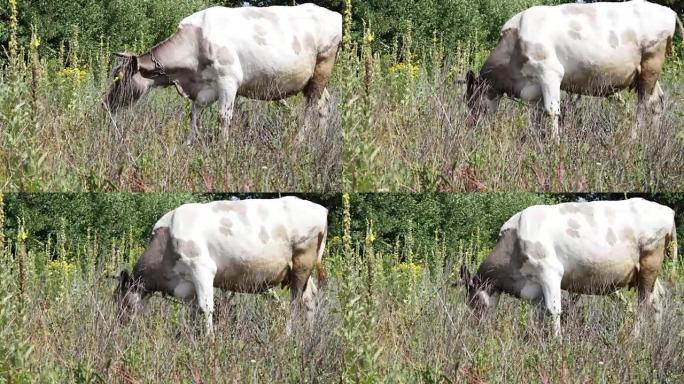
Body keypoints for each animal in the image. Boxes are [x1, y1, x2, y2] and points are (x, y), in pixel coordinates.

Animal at [102, 4, 342, 146]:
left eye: (118, 77)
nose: (104, 102)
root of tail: (333, 14)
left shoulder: (229, 81)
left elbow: (224, 117)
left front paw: (223, 148)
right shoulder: (206, 87)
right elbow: (195, 114)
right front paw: (188, 144)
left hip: (323, 66)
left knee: (311, 107)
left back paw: (298, 141)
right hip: (312, 79)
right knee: (324, 106)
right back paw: (320, 142)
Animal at [115, 196, 328, 338]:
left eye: (122, 302)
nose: (119, 326)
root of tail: (320, 209)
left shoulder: (202, 269)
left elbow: (207, 307)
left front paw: (209, 339)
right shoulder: (188, 285)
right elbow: (192, 312)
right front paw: (190, 336)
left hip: (302, 262)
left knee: (295, 302)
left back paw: (288, 335)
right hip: (300, 269)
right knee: (310, 298)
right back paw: (309, 335)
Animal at [460, 200, 680, 338]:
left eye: (474, 301)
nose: (474, 328)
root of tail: (667, 211)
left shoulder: (550, 272)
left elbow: (554, 310)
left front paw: (556, 341)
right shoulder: (535, 287)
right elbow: (540, 314)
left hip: (650, 262)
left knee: (644, 303)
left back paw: (635, 336)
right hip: (646, 271)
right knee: (657, 299)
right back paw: (656, 334)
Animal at [464, 0, 684, 142]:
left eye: (471, 102)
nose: (471, 127)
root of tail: (668, 11)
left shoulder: (550, 72)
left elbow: (552, 111)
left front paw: (555, 143)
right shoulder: (534, 86)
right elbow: (537, 115)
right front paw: (536, 140)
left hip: (651, 64)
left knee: (643, 105)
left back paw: (634, 138)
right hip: (645, 73)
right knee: (657, 102)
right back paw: (653, 139)